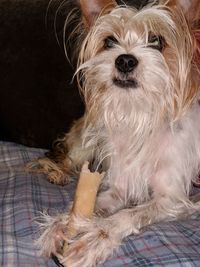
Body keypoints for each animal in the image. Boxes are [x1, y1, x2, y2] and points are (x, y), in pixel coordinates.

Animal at [32, 0, 200, 266]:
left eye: (156, 41)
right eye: (109, 41)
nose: (125, 61)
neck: (139, 115)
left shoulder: (171, 199)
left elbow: (127, 215)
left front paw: (93, 239)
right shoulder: (118, 187)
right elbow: (87, 205)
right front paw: (61, 224)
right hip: (89, 140)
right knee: (60, 157)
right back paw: (57, 174)